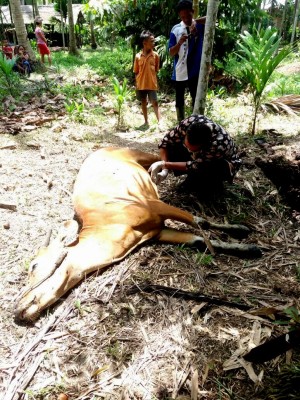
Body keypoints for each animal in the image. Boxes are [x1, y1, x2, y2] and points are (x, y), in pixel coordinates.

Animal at [15, 147, 262, 322]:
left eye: (34, 265)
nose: (17, 307)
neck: (110, 228)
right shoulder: (158, 231)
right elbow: (198, 240)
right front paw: (248, 249)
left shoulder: (154, 206)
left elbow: (199, 221)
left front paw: (240, 230)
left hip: (139, 154)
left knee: (167, 158)